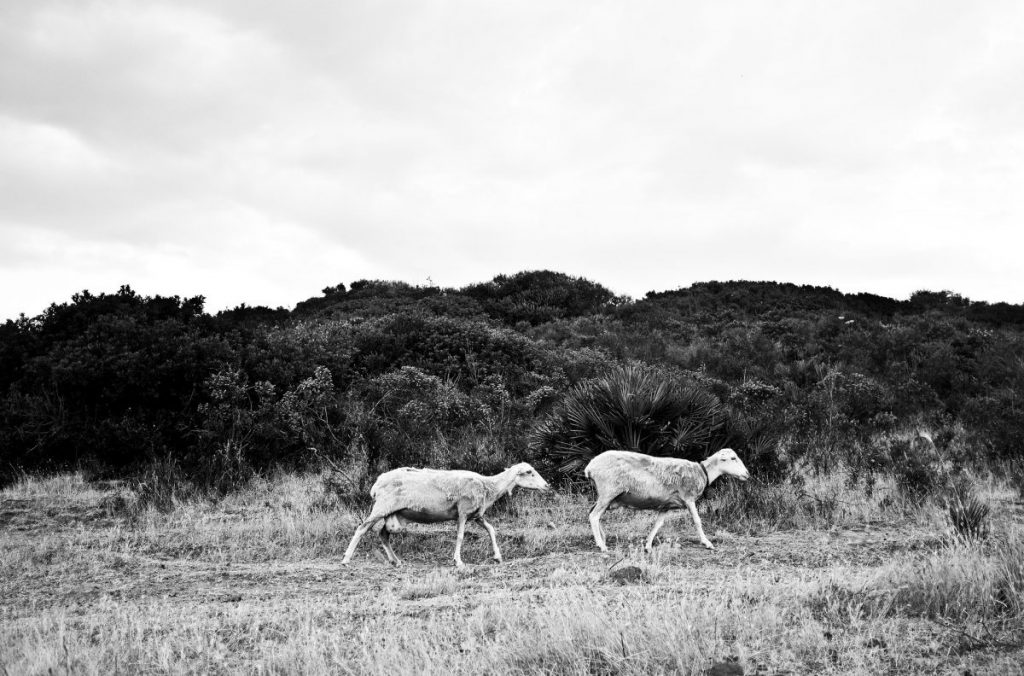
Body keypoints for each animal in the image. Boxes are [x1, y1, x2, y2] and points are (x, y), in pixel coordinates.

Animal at [342, 462, 552, 569]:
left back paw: (396, 561)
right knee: (362, 528)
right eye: (530, 472)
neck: (488, 486)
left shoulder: (477, 515)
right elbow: (460, 536)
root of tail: (377, 483)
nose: (547, 485)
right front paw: (458, 561)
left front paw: (497, 557)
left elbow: (492, 530)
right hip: (382, 507)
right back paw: (346, 559)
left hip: (392, 513)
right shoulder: (463, 512)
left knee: (383, 534)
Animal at [585, 446, 753, 553]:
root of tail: (590, 467)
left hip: (607, 497)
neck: (703, 472)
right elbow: (697, 521)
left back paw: (603, 538)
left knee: (594, 513)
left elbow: (657, 525)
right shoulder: (689, 498)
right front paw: (707, 543)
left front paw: (648, 545)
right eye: (733, 458)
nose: (747, 474)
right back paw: (601, 545)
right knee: (594, 516)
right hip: (608, 491)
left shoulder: (666, 506)